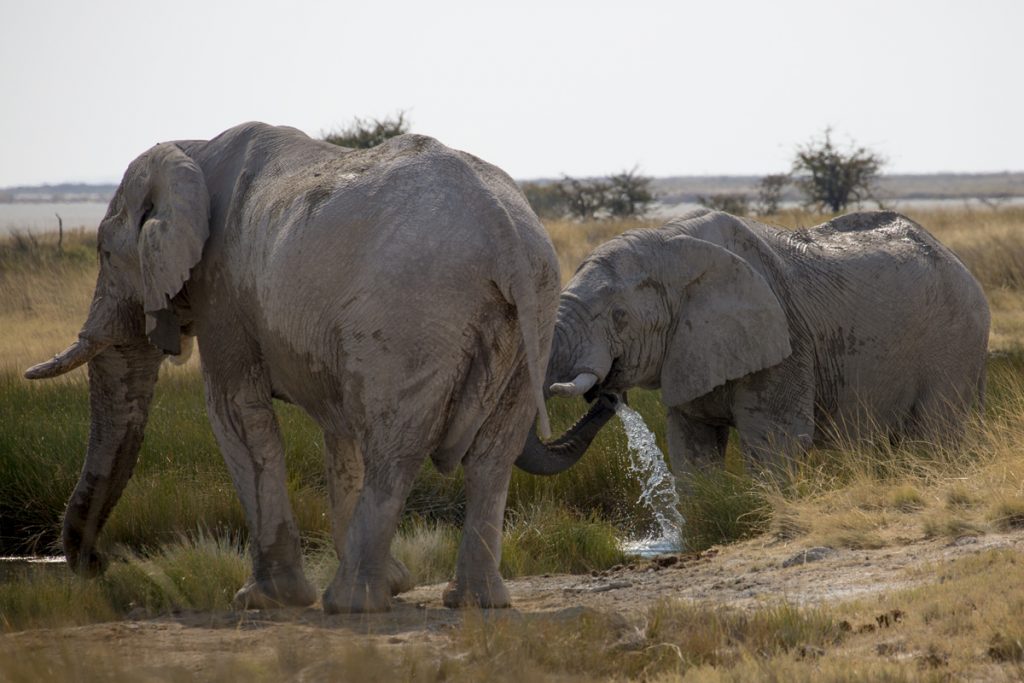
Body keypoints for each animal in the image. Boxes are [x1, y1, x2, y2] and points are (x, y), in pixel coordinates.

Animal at [25, 121, 561, 614]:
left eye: (105, 253)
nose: (98, 565)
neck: (191, 150)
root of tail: (505, 231)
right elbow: (340, 434)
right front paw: (394, 584)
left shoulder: (223, 291)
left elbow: (237, 415)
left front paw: (263, 599)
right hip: (530, 315)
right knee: (492, 454)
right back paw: (473, 602)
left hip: (415, 311)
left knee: (395, 450)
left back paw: (349, 604)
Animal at [520, 208, 991, 485]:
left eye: (619, 316)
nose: (608, 397)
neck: (670, 241)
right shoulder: (690, 348)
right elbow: (691, 447)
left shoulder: (786, 340)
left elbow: (772, 441)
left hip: (956, 340)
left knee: (933, 434)